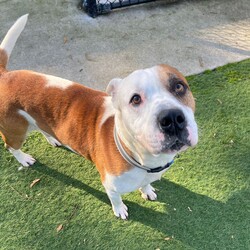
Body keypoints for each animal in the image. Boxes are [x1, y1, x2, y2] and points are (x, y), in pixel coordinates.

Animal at [0, 15, 199, 219]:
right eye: (135, 99)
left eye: (179, 86)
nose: (172, 118)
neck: (142, 159)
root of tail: (5, 76)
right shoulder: (110, 186)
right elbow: (115, 198)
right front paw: (120, 210)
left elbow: (145, 183)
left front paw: (147, 190)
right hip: (14, 130)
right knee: (10, 146)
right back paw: (24, 159)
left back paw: (52, 138)